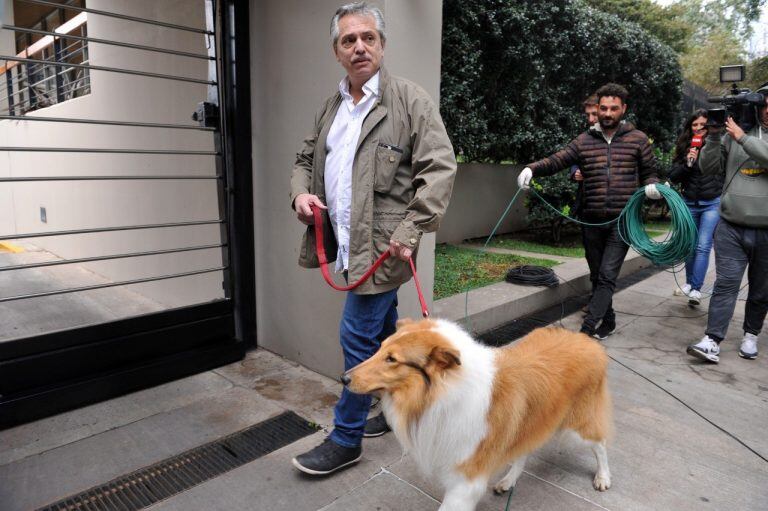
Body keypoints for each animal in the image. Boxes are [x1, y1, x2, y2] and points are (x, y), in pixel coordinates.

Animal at [342, 318, 612, 510]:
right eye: (380, 349)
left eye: (392, 359)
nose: (344, 378)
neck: (442, 394)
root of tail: (587, 341)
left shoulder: (465, 481)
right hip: (527, 421)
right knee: (523, 452)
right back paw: (508, 481)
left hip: (579, 425)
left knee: (600, 445)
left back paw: (603, 478)